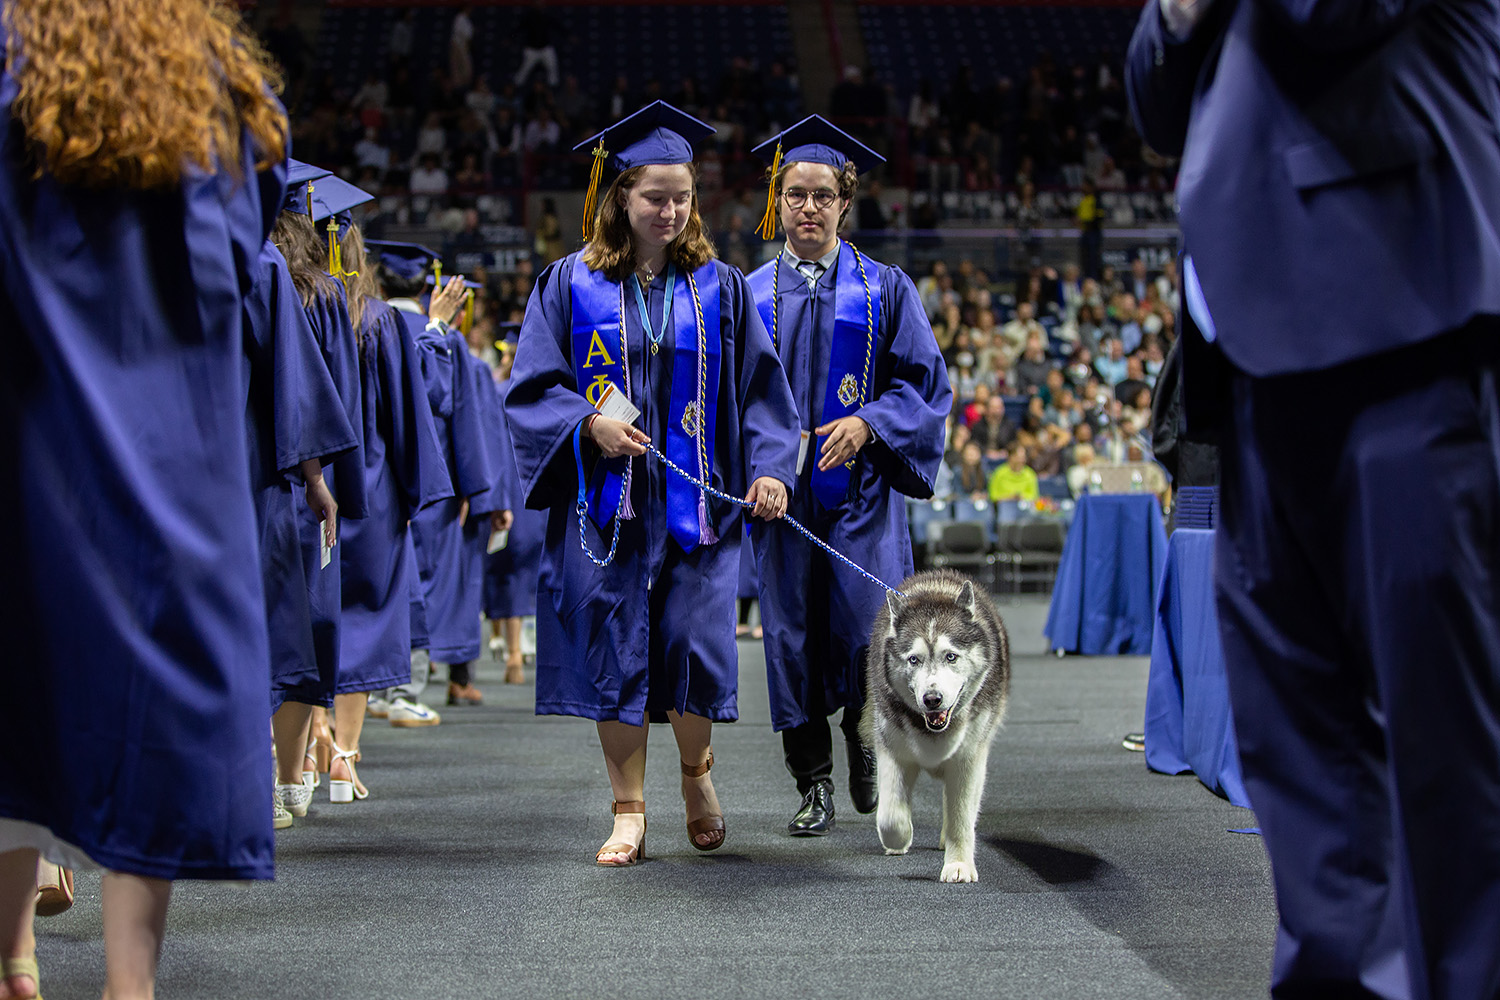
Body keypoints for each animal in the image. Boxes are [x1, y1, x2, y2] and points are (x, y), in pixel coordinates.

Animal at [864, 569, 1014, 881]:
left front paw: (958, 865)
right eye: (913, 659)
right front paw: (900, 838)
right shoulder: (892, 750)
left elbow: (961, 816)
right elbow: (890, 816)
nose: (932, 699)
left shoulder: (968, 758)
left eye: (951, 656)